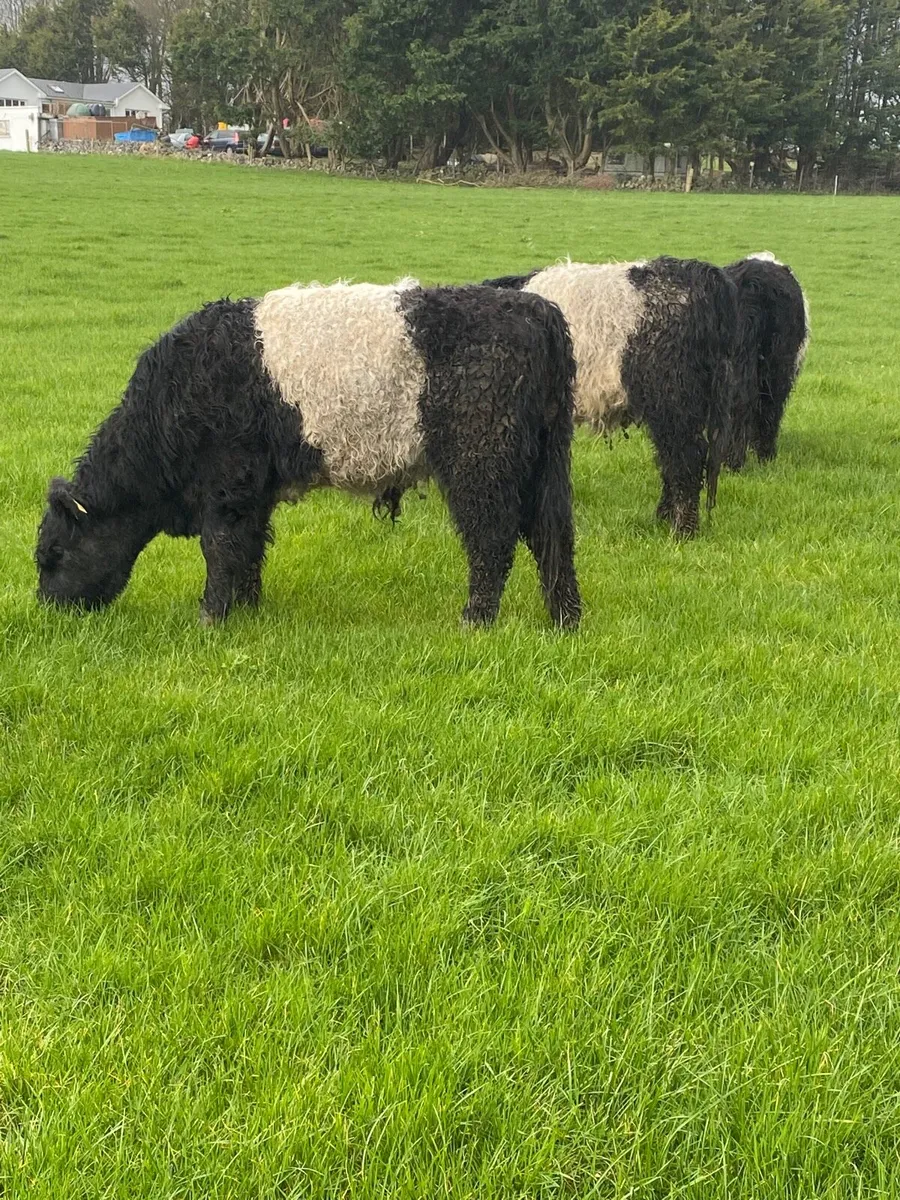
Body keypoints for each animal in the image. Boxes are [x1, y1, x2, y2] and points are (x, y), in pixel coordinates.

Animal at [36, 281, 581, 630]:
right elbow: (249, 548)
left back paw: (476, 620)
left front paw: (210, 618)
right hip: (543, 461)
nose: (48, 612)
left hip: (479, 462)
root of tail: (537, 310)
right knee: (552, 533)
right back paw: (564, 619)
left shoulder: (226, 482)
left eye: (54, 555)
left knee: (493, 538)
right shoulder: (251, 491)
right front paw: (247, 609)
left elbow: (220, 548)